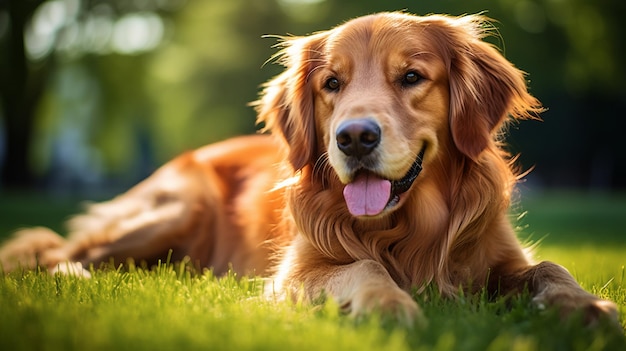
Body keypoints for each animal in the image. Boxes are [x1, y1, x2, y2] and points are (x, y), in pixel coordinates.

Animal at [0, 13, 616, 328]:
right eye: (332, 83)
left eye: (412, 76)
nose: (354, 137)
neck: (407, 228)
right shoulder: (294, 275)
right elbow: (362, 267)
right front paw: (389, 305)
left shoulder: (502, 257)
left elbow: (550, 267)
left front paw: (584, 307)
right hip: (179, 205)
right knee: (57, 253)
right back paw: (79, 278)